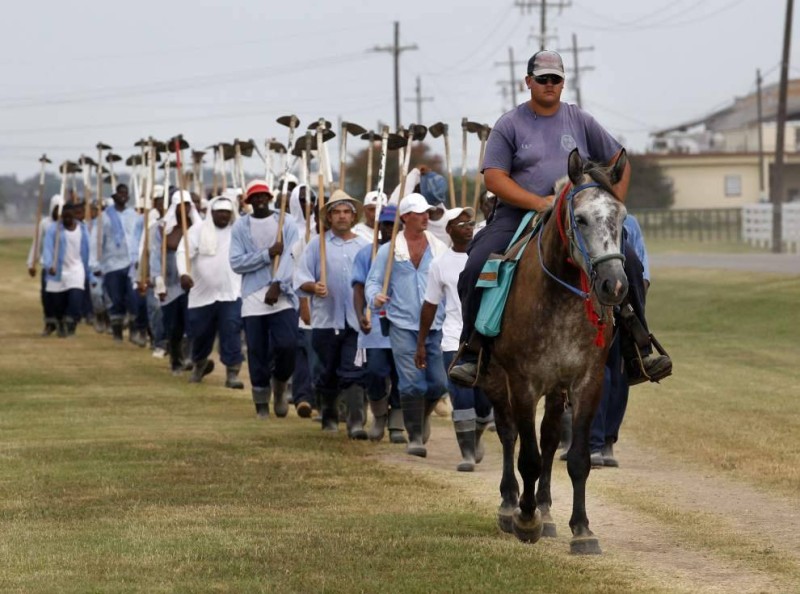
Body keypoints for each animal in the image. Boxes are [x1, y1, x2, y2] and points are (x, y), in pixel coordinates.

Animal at [478, 146, 628, 552]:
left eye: (622, 218)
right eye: (581, 218)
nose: (614, 285)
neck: (558, 298)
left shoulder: (586, 382)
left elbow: (575, 458)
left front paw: (582, 529)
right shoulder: (523, 382)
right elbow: (527, 456)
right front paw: (525, 520)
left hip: (556, 389)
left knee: (547, 439)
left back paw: (545, 511)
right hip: (496, 380)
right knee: (509, 433)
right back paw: (511, 505)